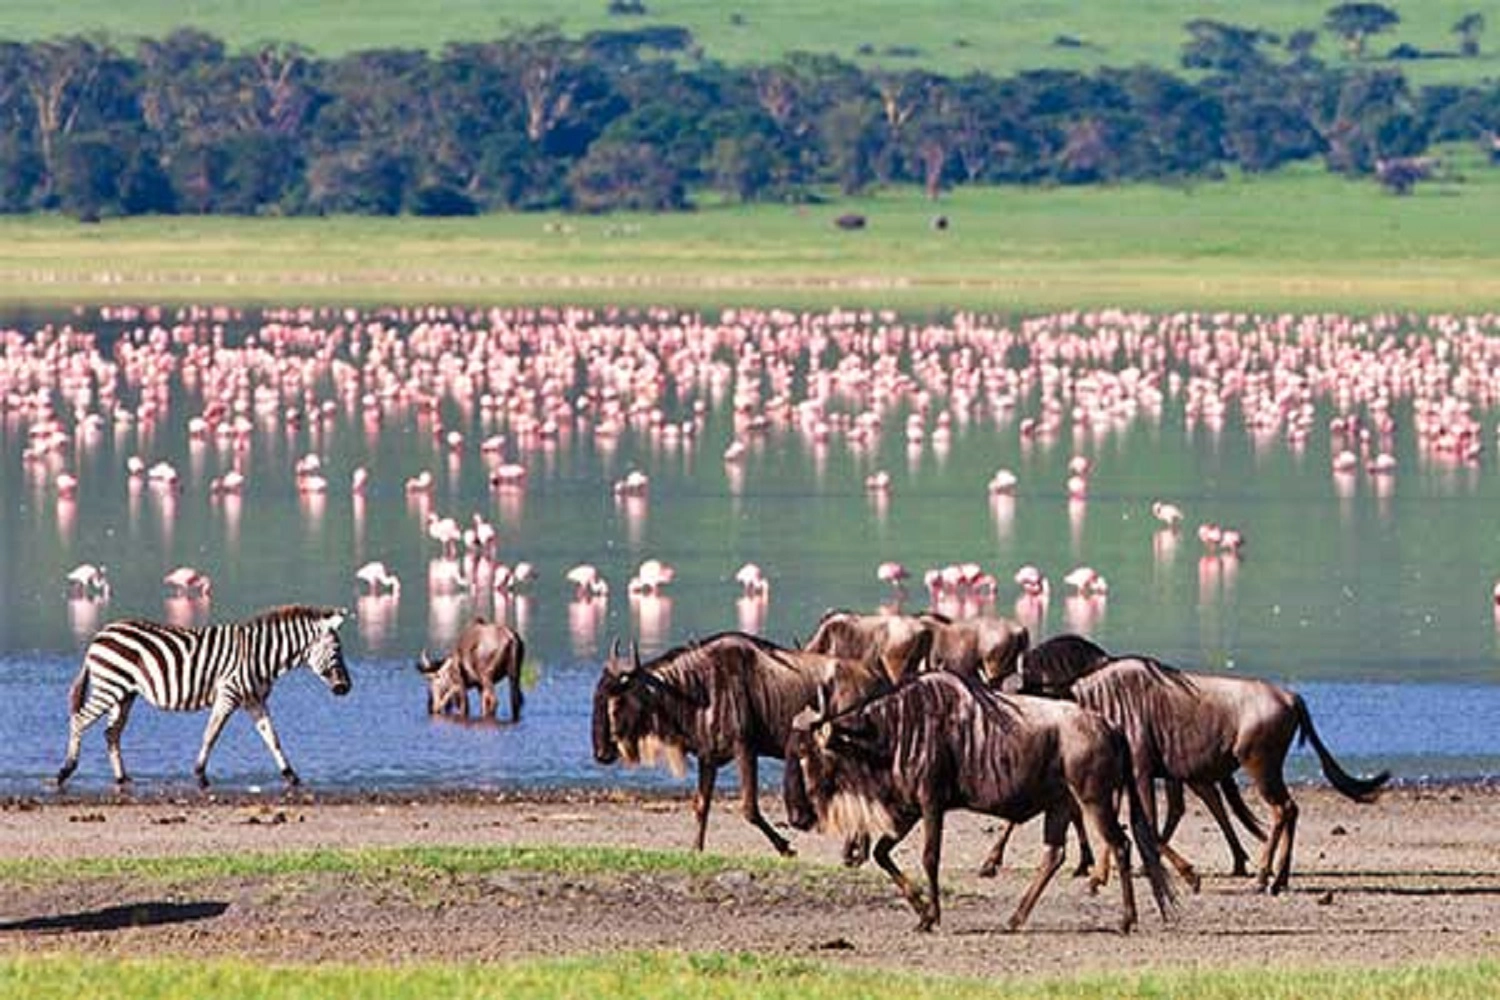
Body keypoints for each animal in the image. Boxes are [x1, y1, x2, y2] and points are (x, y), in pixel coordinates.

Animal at [57, 602, 352, 791]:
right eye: (337, 650)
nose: (346, 688)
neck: (261, 656)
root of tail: (101, 633)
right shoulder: (229, 695)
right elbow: (211, 734)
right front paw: (200, 777)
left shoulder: (254, 700)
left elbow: (273, 738)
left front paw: (291, 776)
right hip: (109, 686)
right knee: (80, 719)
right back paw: (65, 771)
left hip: (124, 694)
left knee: (111, 733)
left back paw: (122, 779)